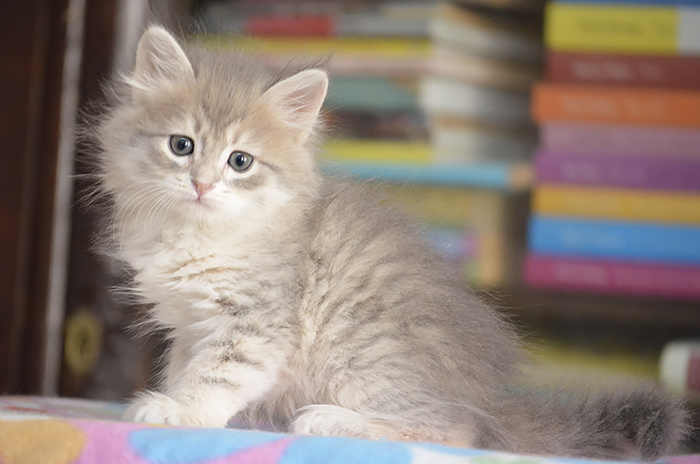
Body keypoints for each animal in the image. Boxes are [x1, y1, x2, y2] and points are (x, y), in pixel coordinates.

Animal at [91, 25, 688, 459]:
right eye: (181, 146)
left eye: (241, 161)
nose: (201, 184)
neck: (200, 235)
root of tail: (488, 397)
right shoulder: (188, 326)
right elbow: (183, 366)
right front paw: (173, 397)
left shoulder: (256, 322)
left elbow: (218, 374)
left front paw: (180, 412)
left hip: (361, 357)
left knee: (456, 430)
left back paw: (330, 419)